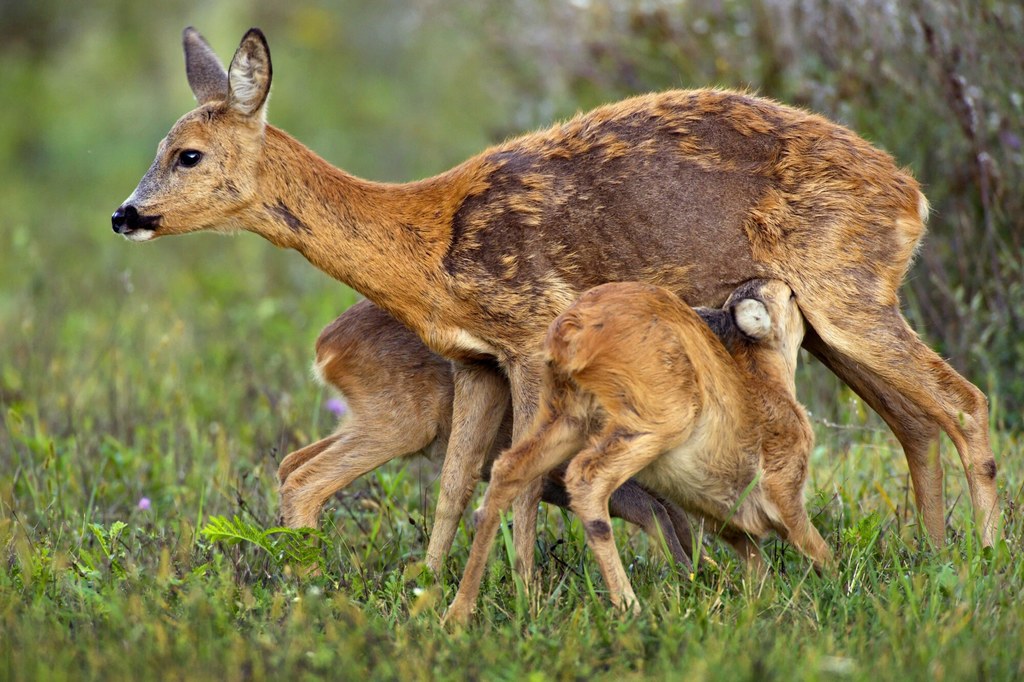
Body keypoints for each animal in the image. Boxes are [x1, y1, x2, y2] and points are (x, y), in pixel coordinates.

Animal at [112, 27, 999, 577]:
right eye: (159, 147)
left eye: (188, 154)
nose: (125, 214)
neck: (428, 242)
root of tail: (913, 195)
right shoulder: (476, 362)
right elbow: (456, 484)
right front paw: (430, 591)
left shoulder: (533, 336)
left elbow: (516, 480)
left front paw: (526, 598)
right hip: (823, 325)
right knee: (916, 420)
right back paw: (933, 552)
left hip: (846, 292)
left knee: (965, 401)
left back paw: (984, 556)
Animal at [444, 278, 827, 622]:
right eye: (790, 295)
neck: (764, 386)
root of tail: (574, 326)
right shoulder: (785, 497)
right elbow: (822, 553)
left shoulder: (732, 528)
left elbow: (759, 574)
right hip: (654, 425)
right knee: (587, 480)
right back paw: (630, 606)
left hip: (566, 420)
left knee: (507, 472)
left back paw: (459, 614)